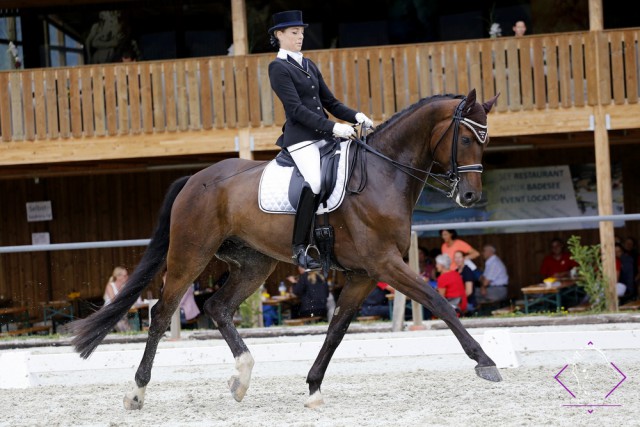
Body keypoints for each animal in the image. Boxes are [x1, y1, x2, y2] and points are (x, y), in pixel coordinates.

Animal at [70, 88, 500, 412]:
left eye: (486, 141)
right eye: (465, 139)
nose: (469, 196)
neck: (384, 174)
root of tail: (194, 178)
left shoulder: (365, 274)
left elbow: (337, 329)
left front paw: (313, 388)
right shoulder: (385, 263)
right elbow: (438, 301)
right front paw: (486, 362)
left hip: (253, 264)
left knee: (217, 307)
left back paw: (241, 378)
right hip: (189, 256)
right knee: (161, 314)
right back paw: (136, 392)